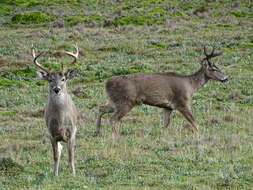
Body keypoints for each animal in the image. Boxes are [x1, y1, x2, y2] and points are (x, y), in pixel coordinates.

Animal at [32, 45, 79, 176]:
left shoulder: (72, 131)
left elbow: (71, 156)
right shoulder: (51, 134)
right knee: (60, 149)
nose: (57, 89)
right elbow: (55, 156)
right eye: (50, 80)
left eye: (63, 79)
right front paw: (55, 174)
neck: (61, 121)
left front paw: (73, 174)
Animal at [94, 46, 228, 136]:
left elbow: (165, 125)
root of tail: (107, 83)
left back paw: (96, 132)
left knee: (101, 108)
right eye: (213, 69)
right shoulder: (182, 102)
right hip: (126, 101)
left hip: (114, 101)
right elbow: (195, 123)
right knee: (112, 119)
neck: (190, 86)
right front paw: (202, 135)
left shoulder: (167, 107)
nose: (226, 78)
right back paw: (115, 135)